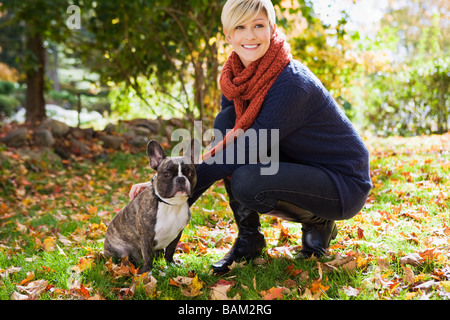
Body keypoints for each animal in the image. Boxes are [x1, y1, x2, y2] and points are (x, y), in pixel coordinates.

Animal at [105, 139, 199, 272]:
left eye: (190, 172)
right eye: (166, 174)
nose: (181, 179)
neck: (171, 205)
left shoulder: (177, 234)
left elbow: (170, 251)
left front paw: (171, 263)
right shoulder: (146, 236)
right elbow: (147, 255)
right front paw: (146, 272)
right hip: (120, 253)